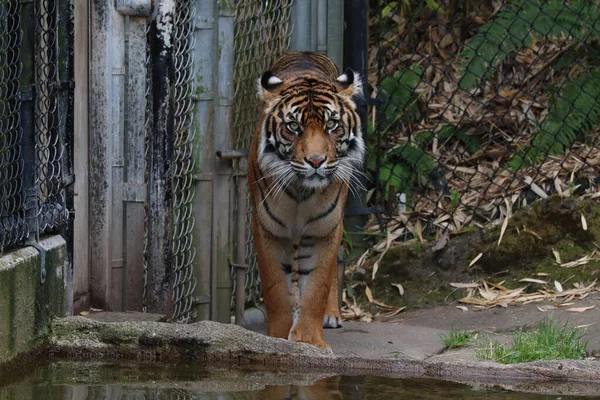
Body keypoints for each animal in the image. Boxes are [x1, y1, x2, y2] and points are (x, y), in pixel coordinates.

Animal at [246, 51, 364, 352]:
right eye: (293, 127)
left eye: (331, 125)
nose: (315, 161)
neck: (302, 192)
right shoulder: (267, 229)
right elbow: (276, 288)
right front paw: (278, 337)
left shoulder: (324, 230)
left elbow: (317, 286)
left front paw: (310, 341)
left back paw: (331, 315)